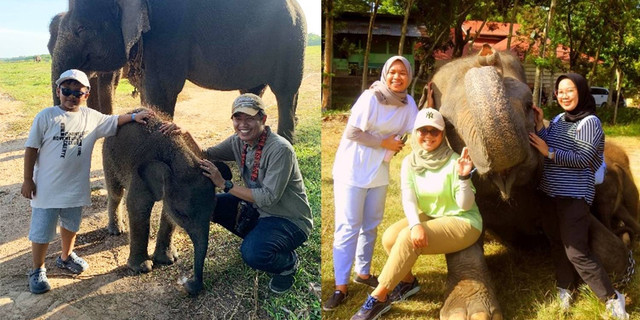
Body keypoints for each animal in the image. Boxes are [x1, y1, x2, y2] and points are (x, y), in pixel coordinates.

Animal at [50, 0, 304, 142]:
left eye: (81, 28)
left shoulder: (168, 30)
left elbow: (161, 89)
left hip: (291, 39)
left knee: (285, 91)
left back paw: (287, 141)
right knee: (252, 91)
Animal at [101, 110, 229, 296]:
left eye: (214, 208)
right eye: (182, 214)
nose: (189, 284)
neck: (177, 156)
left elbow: (167, 214)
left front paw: (168, 260)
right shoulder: (140, 176)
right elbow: (137, 206)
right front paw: (142, 268)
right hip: (109, 156)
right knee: (116, 193)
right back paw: (116, 230)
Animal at [416, 43, 636, 318]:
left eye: (529, 105)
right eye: (448, 124)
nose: (486, 52)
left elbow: (609, 249)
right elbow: (460, 230)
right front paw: (471, 313)